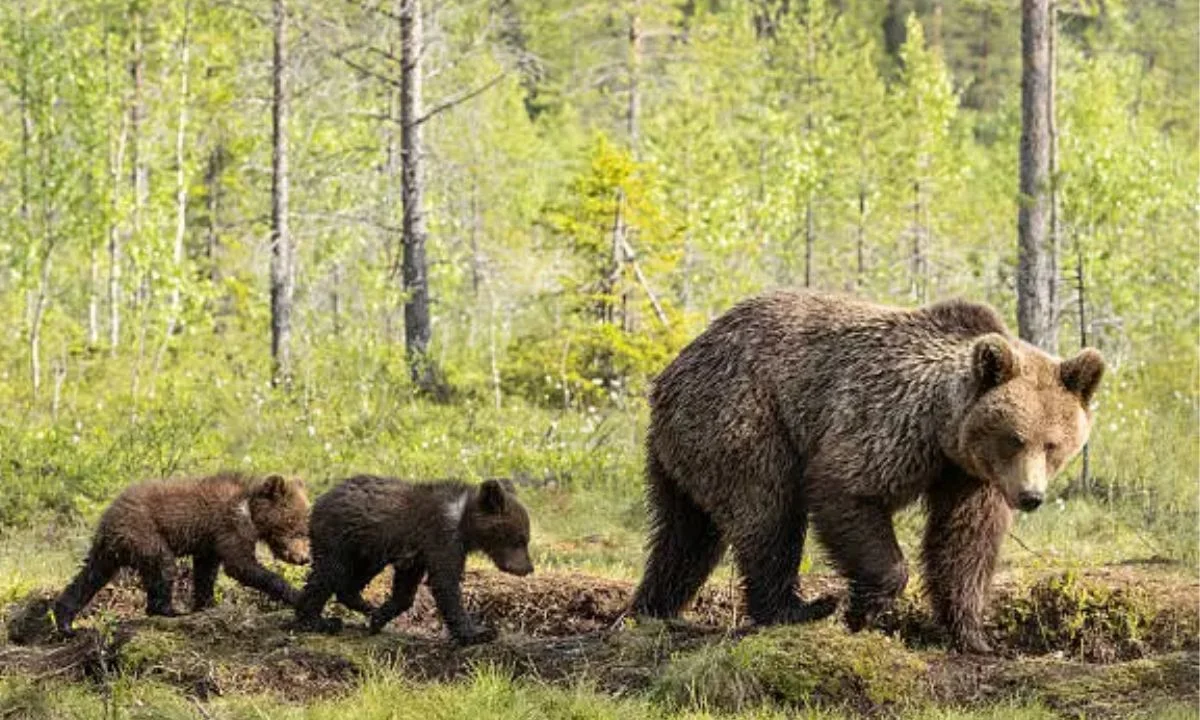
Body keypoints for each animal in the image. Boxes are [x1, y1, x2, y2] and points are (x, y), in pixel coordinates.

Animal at [53, 472, 311, 636]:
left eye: (304, 529)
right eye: (296, 526)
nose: (304, 558)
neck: (251, 513)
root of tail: (108, 520)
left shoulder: (210, 540)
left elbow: (206, 570)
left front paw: (207, 603)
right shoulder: (229, 526)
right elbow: (240, 565)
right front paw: (295, 593)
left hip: (110, 550)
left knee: (90, 576)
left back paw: (65, 621)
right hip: (144, 532)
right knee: (164, 565)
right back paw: (169, 610)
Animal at [293, 476, 533, 646]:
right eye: (520, 539)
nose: (528, 568)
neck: (463, 524)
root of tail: (321, 498)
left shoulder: (417, 554)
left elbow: (406, 590)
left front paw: (379, 617)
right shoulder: (441, 538)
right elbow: (445, 583)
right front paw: (479, 633)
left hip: (365, 550)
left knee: (353, 577)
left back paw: (365, 605)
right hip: (338, 538)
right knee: (327, 573)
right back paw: (318, 620)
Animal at [631, 290, 1104, 653]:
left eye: (1053, 444)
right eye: (1015, 438)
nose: (1030, 497)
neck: (946, 431)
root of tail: (675, 368)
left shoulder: (970, 476)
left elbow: (965, 542)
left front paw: (975, 636)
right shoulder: (890, 423)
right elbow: (846, 488)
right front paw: (861, 607)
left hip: (682, 452)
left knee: (684, 535)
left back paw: (650, 607)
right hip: (745, 419)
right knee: (767, 512)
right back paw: (797, 608)